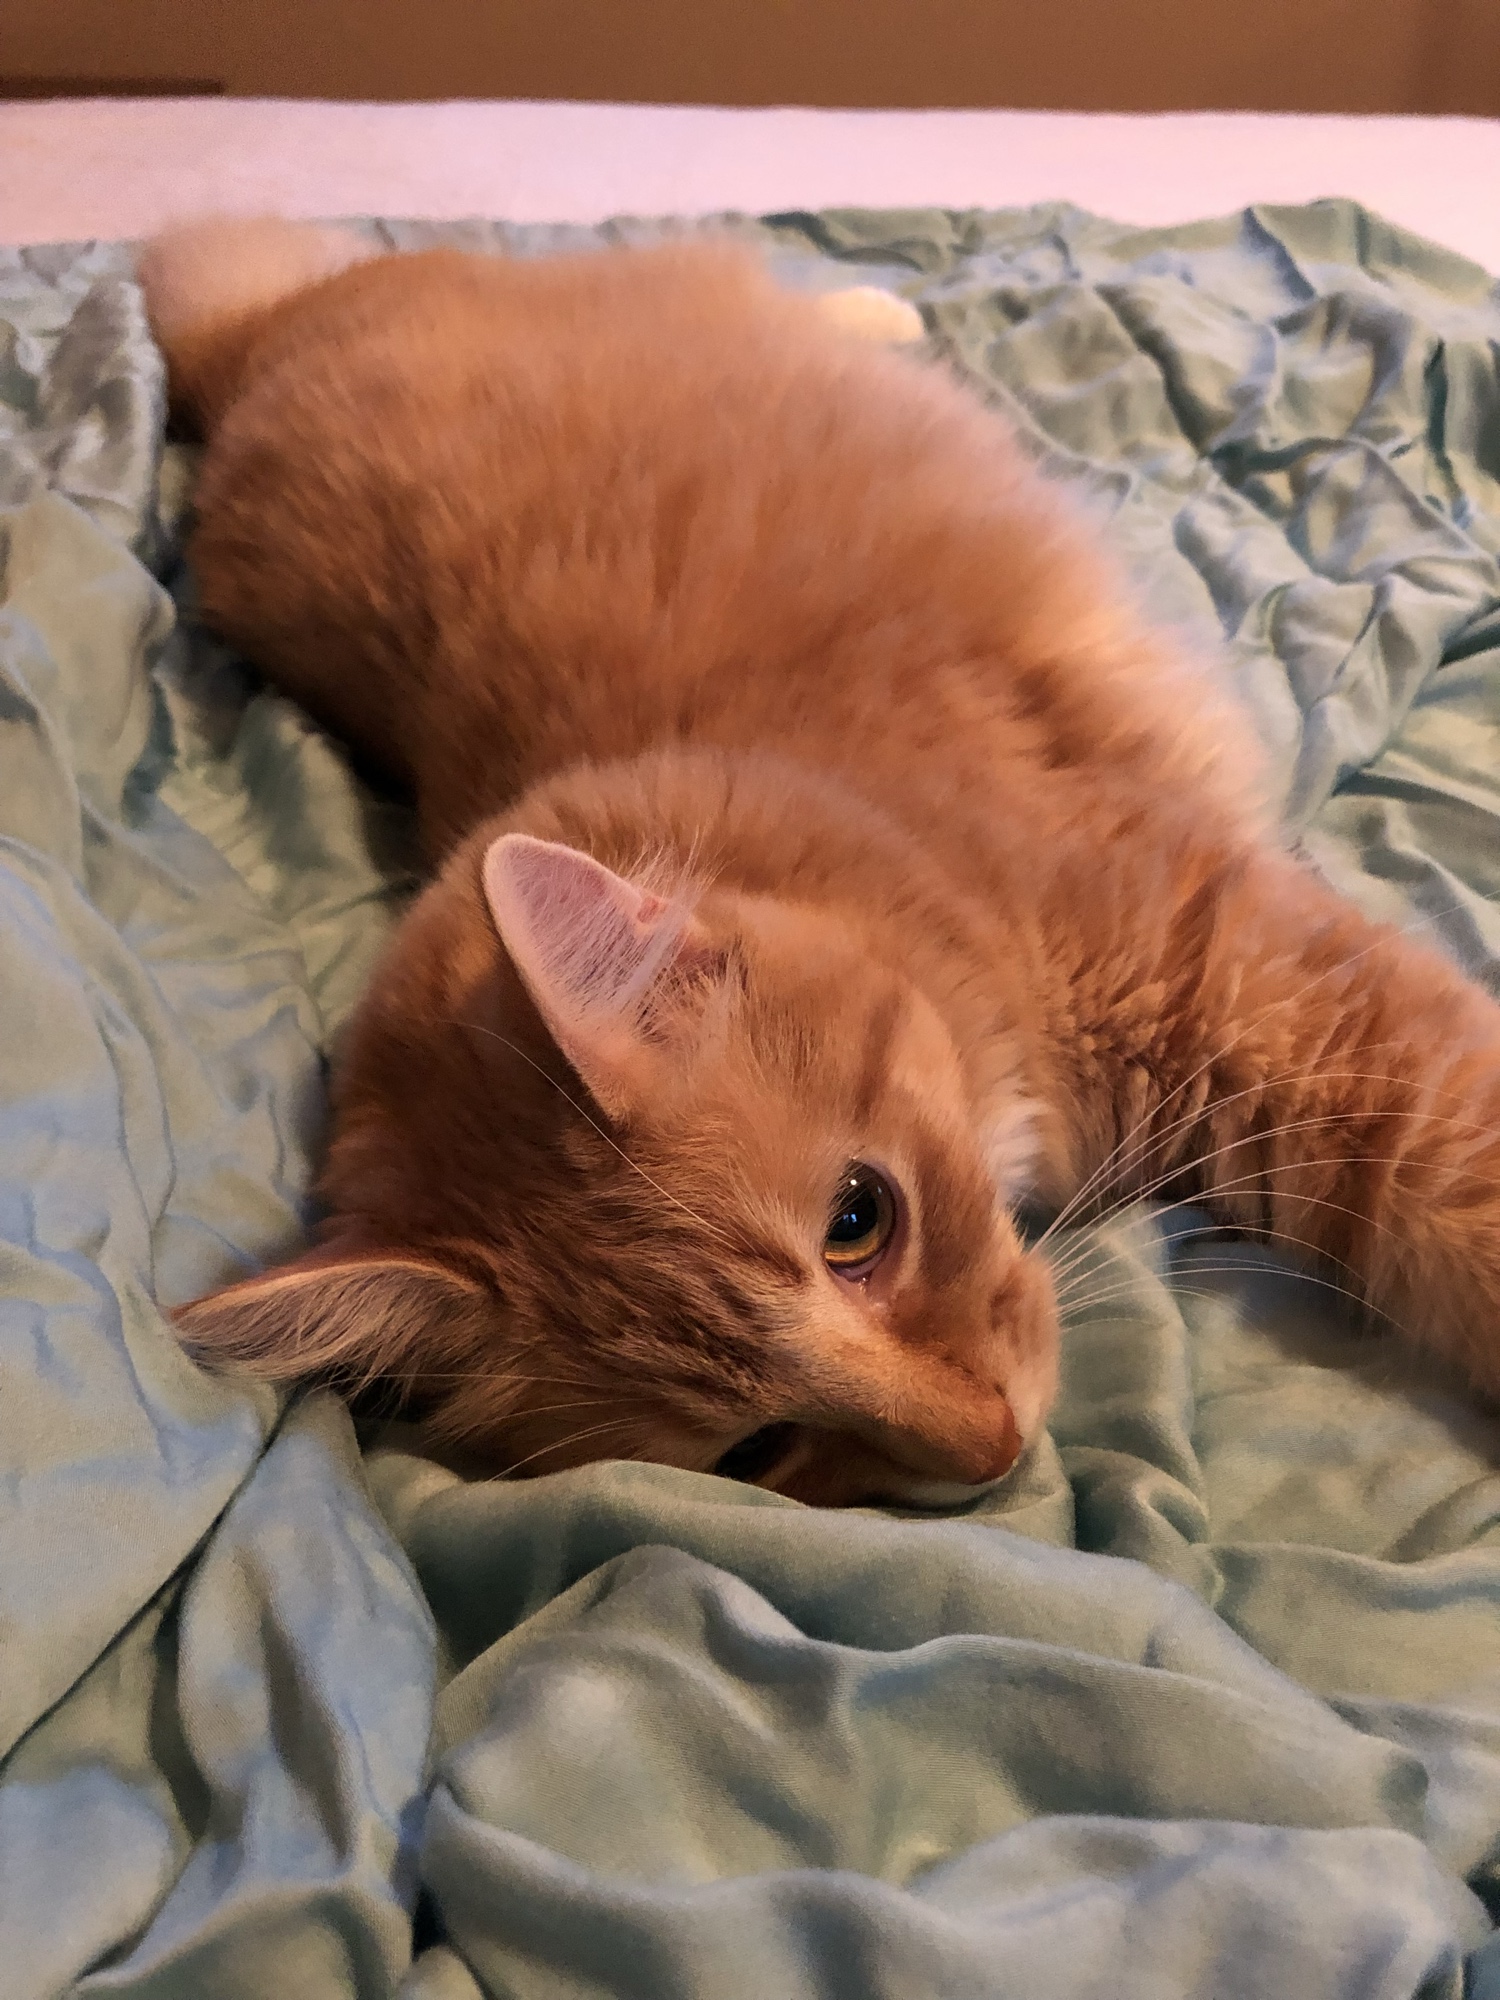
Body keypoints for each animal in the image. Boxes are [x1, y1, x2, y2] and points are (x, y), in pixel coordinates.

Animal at [140, 216, 1500, 1507]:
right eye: (759, 1447)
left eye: (861, 1220)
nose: (994, 1443)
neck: (874, 835)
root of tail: (245, 356)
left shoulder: (1274, 1005)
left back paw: (883, 312)